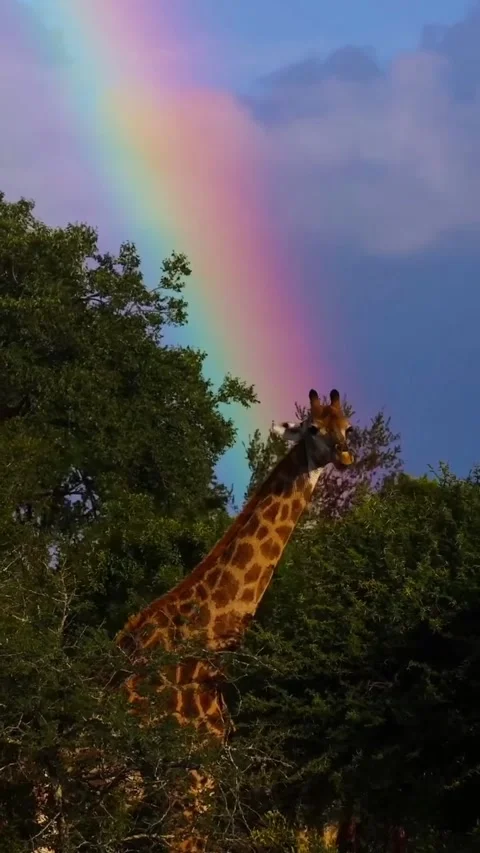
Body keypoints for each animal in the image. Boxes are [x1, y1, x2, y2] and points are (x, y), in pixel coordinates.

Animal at [116, 388, 355, 852]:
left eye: (348, 426)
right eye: (313, 428)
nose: (346, 455)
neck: (204, 643)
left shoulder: (198, 782)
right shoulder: (190, 782)